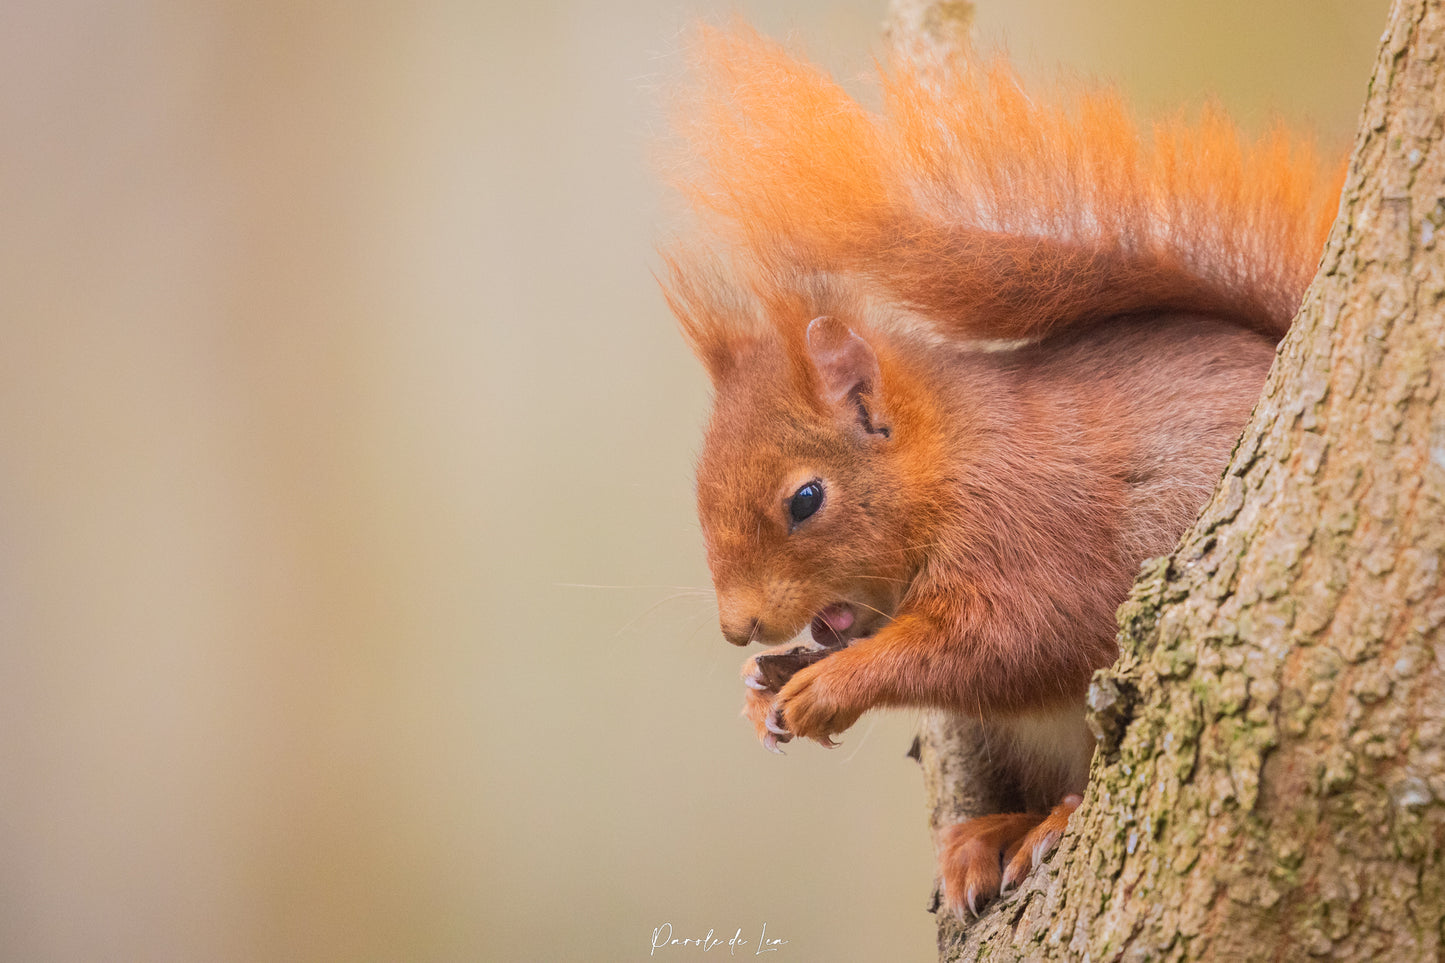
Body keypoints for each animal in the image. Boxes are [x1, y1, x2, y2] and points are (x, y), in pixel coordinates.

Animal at [661, 24, 1335, 913]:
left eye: (805, 498)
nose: (738, 625)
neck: (948, 458)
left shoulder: (1026, 527)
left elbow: (1004, 643)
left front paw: (829, 685)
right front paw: (766, 679)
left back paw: (1050, 821)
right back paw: (988, 834)